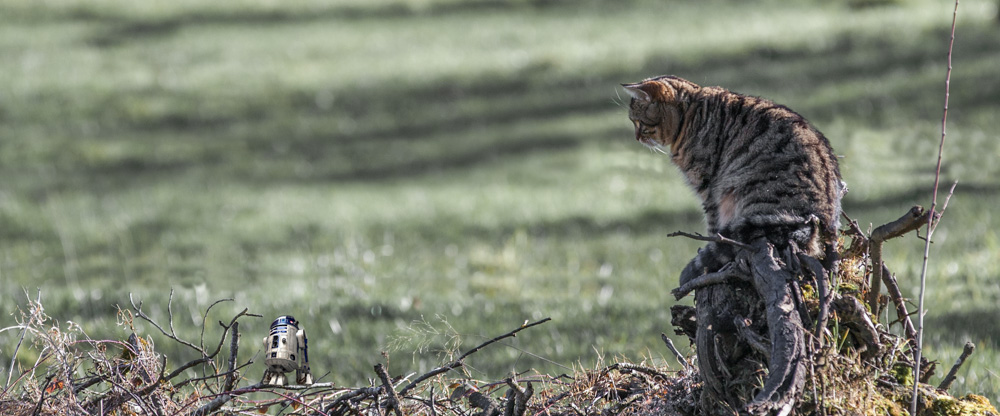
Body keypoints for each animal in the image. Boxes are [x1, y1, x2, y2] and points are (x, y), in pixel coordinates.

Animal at [624, 76, 844, 280]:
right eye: (633, 122)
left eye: (639, 122)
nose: (636, 137)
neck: (689, 115)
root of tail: (821, 220)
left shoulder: (709, 189)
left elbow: (714, 228)